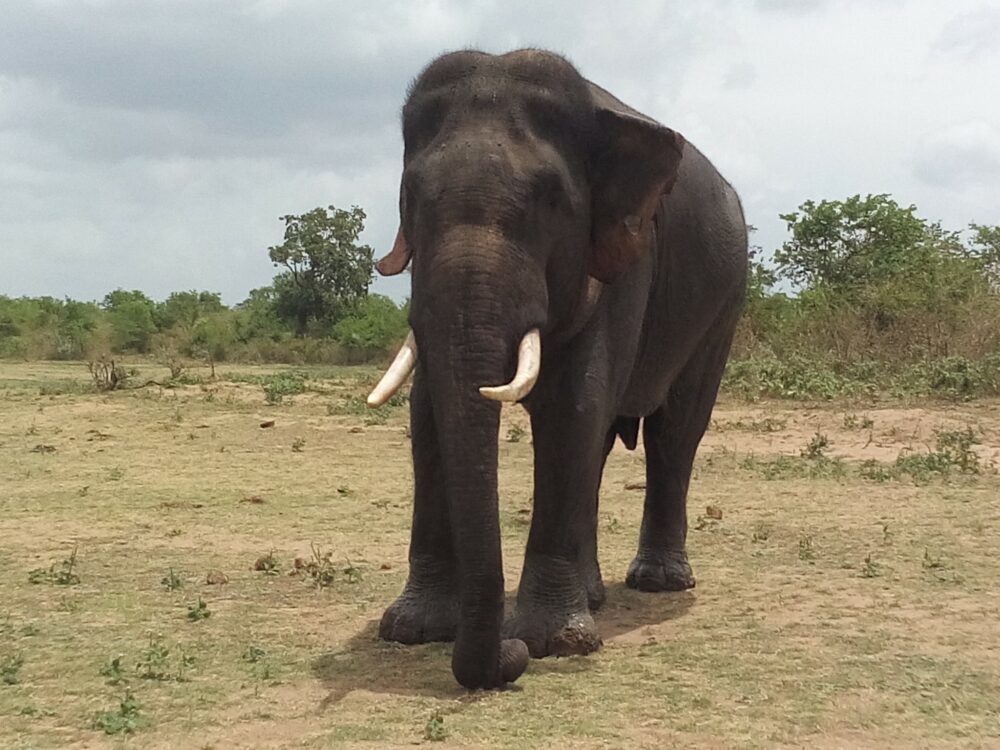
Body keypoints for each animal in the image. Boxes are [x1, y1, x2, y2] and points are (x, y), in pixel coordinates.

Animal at [364, 48, 748, 692]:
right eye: (411, 196)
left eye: (549, 200)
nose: (508, 657)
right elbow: (428, 411)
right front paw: (412, 631)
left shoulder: (625, 254)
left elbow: (575, 407)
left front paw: (552, 645)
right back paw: (592, 597)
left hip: (725, 302)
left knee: (675, 432)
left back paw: (657, 584)